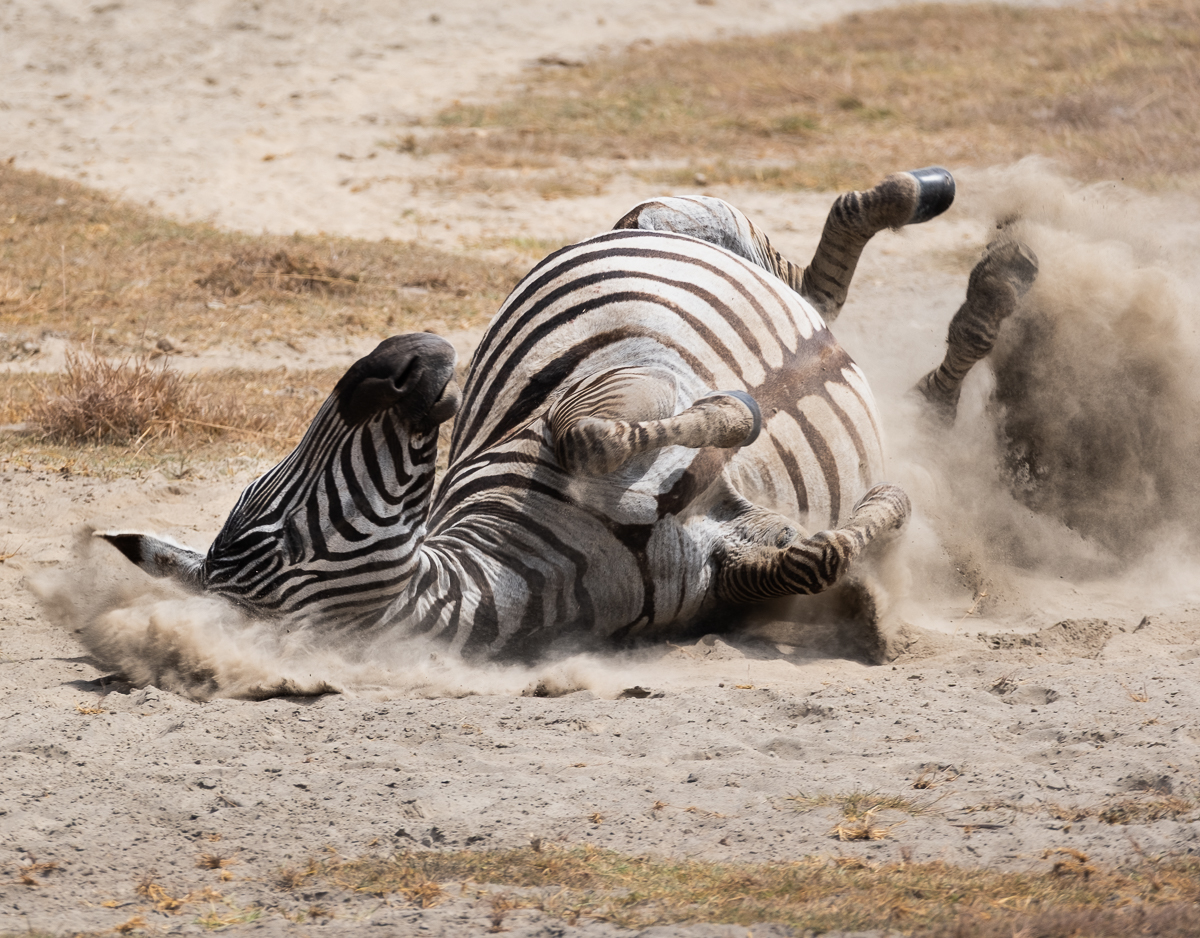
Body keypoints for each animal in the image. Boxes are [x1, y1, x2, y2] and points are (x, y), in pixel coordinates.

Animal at [99, 167, 1036, 662]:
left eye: (259, 499)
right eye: (264, 531)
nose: (399, 355)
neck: (536, 567)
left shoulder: (619, 383)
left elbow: (586, 431)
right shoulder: (724, 564)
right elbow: (811, 556)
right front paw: (875, 512)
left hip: (667, 221)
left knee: (805, 271)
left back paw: (941, 220)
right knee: (822, 302)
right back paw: (983, 303)